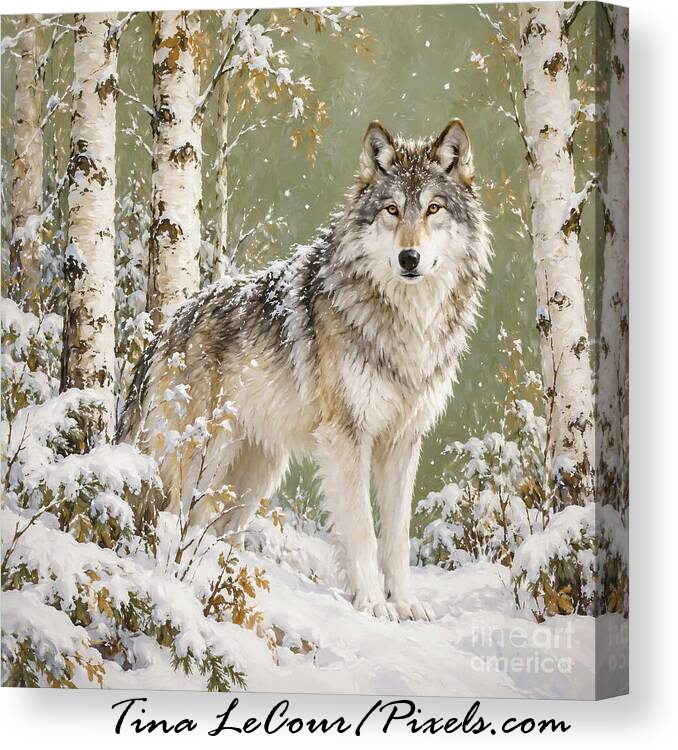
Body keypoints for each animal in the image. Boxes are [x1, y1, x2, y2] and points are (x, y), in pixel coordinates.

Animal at [118, 119, 492, 621]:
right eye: (392, 209)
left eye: (433, 208)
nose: (409, 258)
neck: (406, 323)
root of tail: (162, 334)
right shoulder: (347, 437)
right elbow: (362, 531)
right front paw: (373, 605)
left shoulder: (402, 441)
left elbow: (397, 537)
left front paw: (406, 605)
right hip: (200, 460)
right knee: (168, 516)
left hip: (251, 476)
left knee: (211, 527)